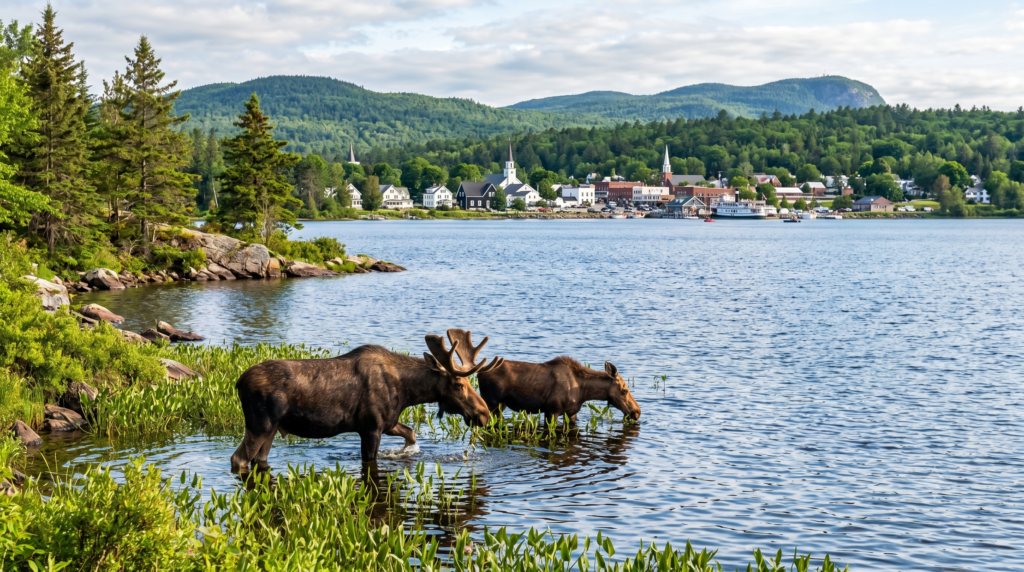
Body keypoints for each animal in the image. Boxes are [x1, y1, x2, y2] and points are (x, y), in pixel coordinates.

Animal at [230, 333, 503, 473]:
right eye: (459, 384)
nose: (484, 414)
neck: (408, 392)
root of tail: (238, 382)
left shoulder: (389, 421)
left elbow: (412, 433)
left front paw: (405, 452)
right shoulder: (370, 427)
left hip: (272, 429)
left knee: (259, 460)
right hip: (260, 424)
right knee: (239, 459)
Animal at [446, 329, 641, 426]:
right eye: (624, 390)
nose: (637, 411)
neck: (584, 392)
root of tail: (479, 371)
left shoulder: (572, 413)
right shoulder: (551, 410)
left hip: (500, 405)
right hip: (491, 403)